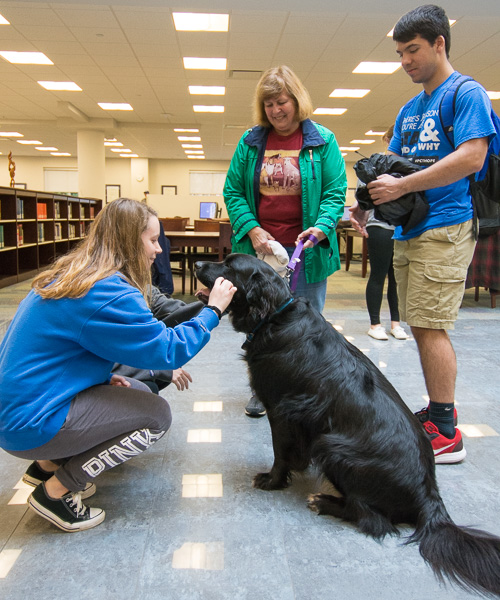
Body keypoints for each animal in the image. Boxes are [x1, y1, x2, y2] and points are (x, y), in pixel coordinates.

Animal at [195, 253, 500, 598]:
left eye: (229, 266)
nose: (196, 265)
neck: (276, 315)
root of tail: (429, 495)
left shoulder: (281, 409)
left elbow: (280, 453)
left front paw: (272, 480)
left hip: (331, 446)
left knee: (373, 520)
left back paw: (324, 501)